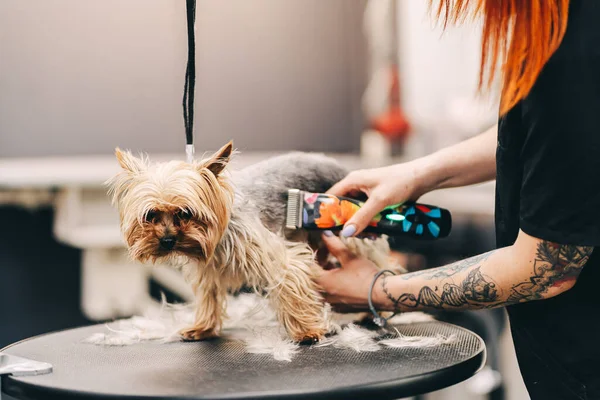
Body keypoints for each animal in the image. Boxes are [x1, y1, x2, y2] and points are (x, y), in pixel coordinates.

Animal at [105, 141, 396, 344]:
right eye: (150, 215)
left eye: (185, 213)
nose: (167, 241)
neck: (217, 236)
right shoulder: (208, 268)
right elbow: (209, 296)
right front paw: (203, 327)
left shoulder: (277, 256)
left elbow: (290, 281)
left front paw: (307, 331)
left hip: (353, 228)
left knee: (382, 262)